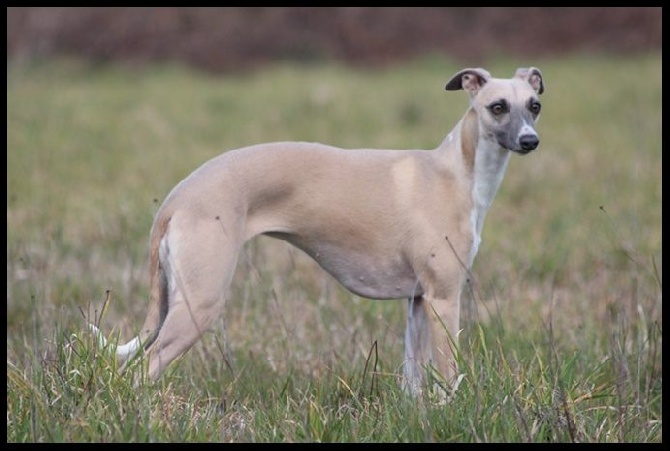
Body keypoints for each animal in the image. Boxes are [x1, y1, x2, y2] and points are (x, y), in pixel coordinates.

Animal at [89, 65, 544, 398]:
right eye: (498, 106)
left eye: (535, 104)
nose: (530, 141)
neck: (455, 172)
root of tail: (176, 198)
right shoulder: (444, 299)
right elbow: (449, 376)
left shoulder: (418, 300)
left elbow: (413, 381)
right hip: (200, 304)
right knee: (142, 372)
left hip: (176, 297)